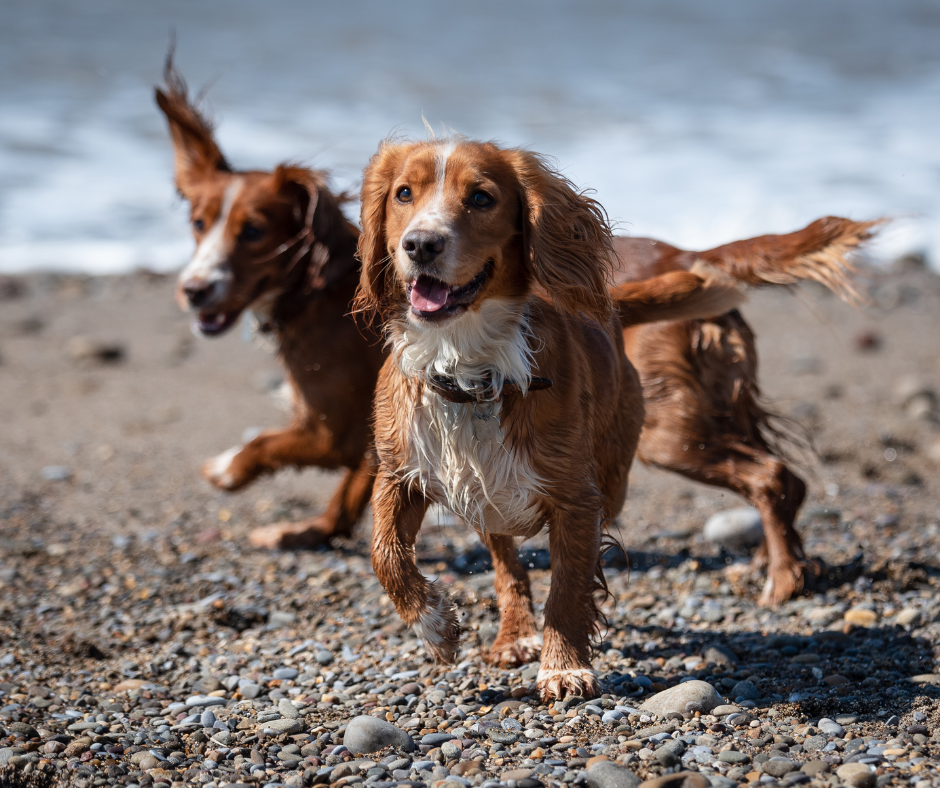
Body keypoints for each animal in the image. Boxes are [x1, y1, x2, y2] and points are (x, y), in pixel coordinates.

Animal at [156, 61, 384, 548]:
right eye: (198, 223)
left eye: (253, 231)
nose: (193, 290)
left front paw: (227, 468)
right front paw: (311, 530)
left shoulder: (333, 430)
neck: (314, 295)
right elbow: (358, 483)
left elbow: (262, 441)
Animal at [354, 139, 748, 700]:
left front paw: (564, 667)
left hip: (611, 477)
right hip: (485, 496)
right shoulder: (398, 474)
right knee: (506, 562)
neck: (468, 366)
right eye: (403, 193)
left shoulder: (577, 496)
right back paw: (515, 634)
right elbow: (384, 555)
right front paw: (436, 627)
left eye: (481, 197)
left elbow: (566, 588)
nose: (421, 245)